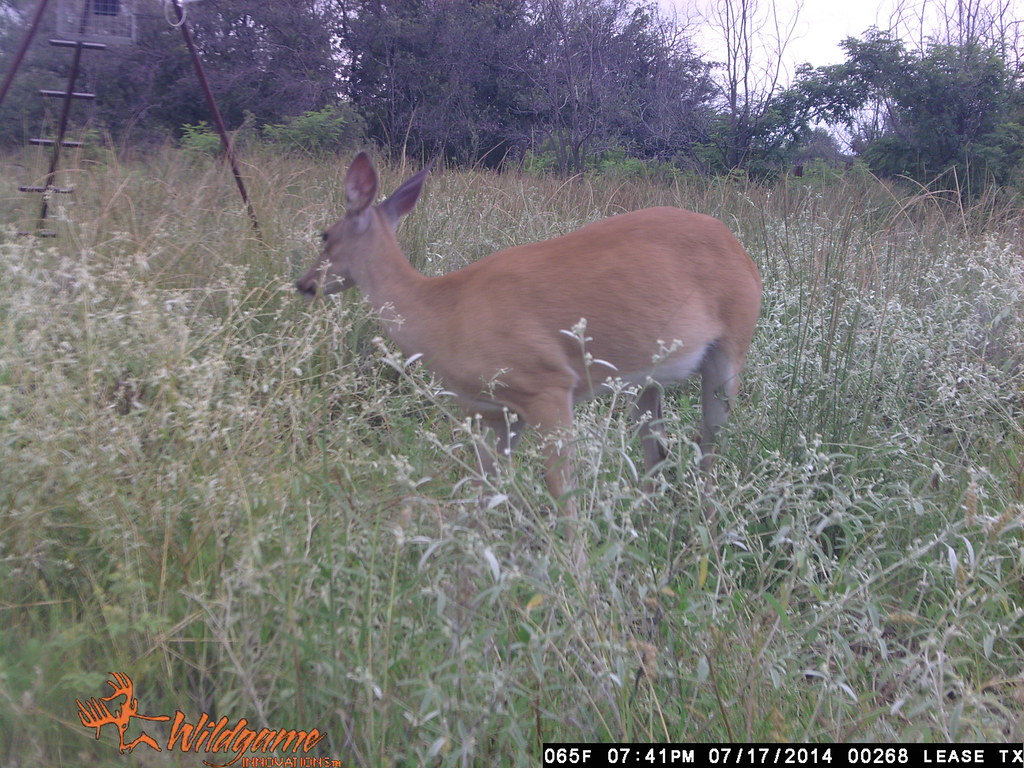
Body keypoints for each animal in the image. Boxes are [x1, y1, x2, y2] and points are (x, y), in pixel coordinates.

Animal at [297, 152, 761, 529]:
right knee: (657, 451)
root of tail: (742, 251)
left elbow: (563, 494)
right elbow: (484, 490)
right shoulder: (495, 413)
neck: (443, 313)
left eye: (324, 234)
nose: (304, 283)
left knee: (709, 444)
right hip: (644, 380)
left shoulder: (547, 385)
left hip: (729, 352)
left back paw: (703, 533)